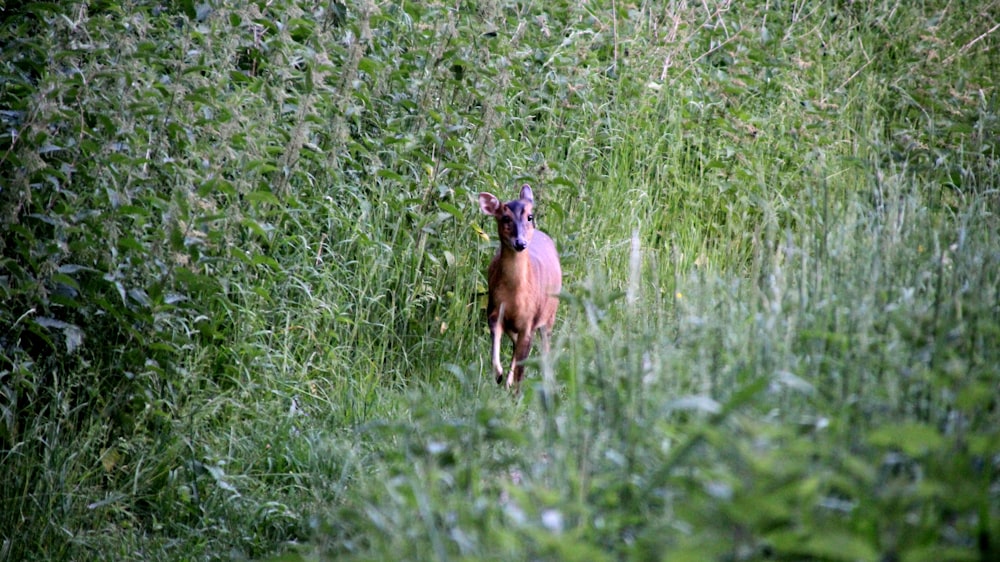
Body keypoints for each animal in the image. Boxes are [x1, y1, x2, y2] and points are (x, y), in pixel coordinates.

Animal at [478, 183, 564, 390]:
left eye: (529, 216)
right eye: (505, 218)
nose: (520, 242)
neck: (515, 296)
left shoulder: (530, 321)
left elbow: (521, 368)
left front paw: (517, 392)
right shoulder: (494, 310)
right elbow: (497, 349)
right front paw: (499, 375)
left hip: (549, 314)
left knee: (543, 348)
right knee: (516, 347)